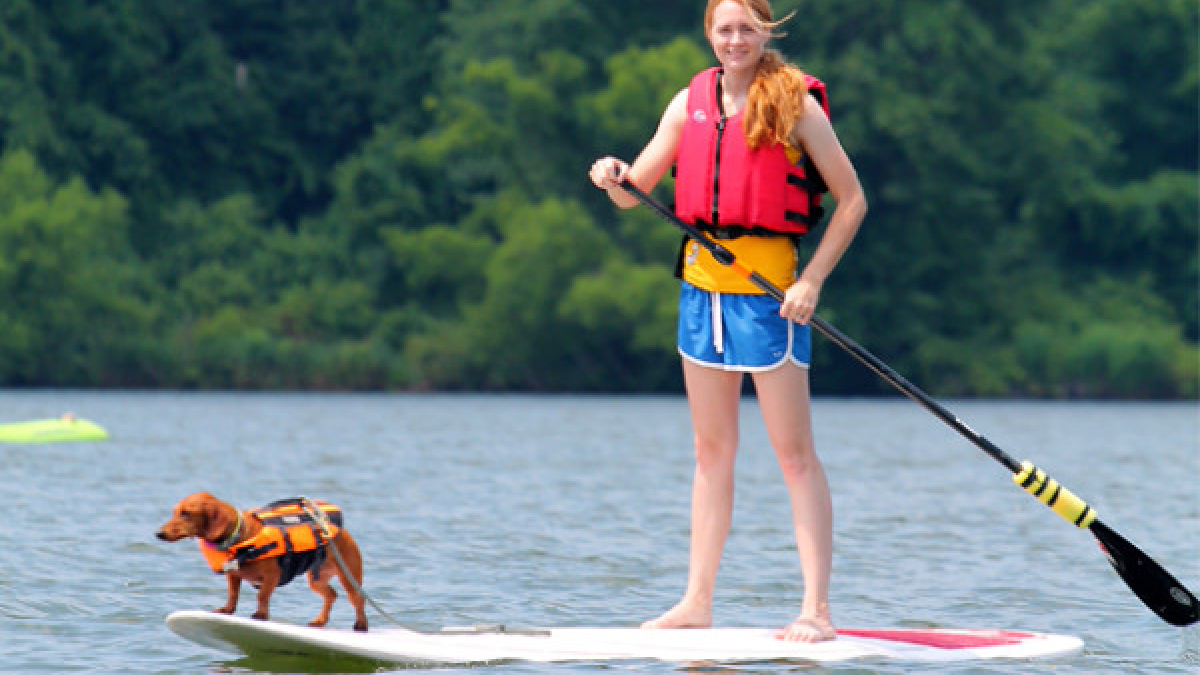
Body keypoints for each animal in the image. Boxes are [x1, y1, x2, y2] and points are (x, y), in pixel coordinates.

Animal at [157, 487, 367, 629]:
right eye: (175, 511)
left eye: (186, 513)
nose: (158, 534)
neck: (241, 538)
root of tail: (339, 529)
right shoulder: (233, 574)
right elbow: (233, 594)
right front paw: (227, 610)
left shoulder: (272, 576)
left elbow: (262, 595)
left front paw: (261, 614)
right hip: (317, 578)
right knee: (332, 594)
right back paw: (320, 621)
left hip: (348, 576)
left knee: (358, 599)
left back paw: (361, 625)